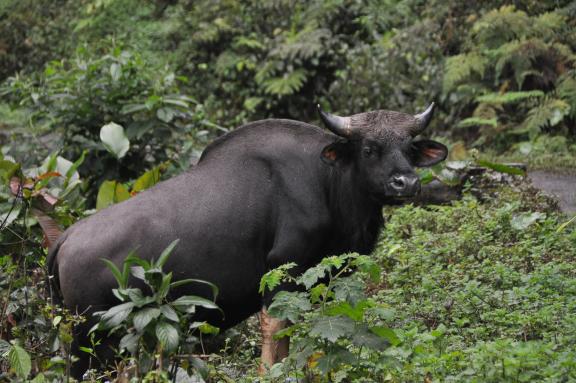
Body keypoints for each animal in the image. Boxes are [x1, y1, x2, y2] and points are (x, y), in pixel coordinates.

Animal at [47, 104, 448, 376]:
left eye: (409, 148)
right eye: (368, 149)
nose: (407, 182)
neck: (328, 181)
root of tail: (66, 239)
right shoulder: (282, 274)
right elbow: (278, 334)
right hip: (92, 338)